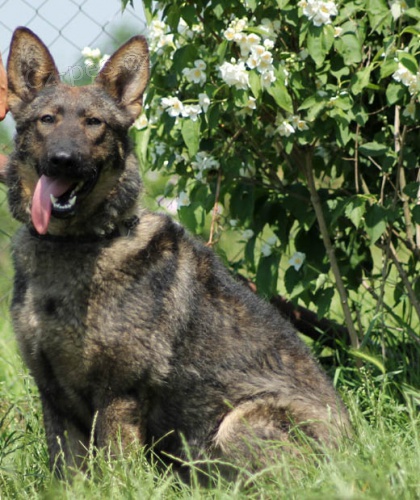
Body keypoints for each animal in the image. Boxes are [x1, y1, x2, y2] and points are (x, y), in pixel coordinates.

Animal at [4, 27, 349, 478]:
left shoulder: (118, 395)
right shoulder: (54, 398)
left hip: (236, 423)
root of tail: (353, 453)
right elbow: (69, 476)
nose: (64, 160)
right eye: (47, 120)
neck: (74, 244)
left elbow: (114, 475)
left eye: (94, 123)